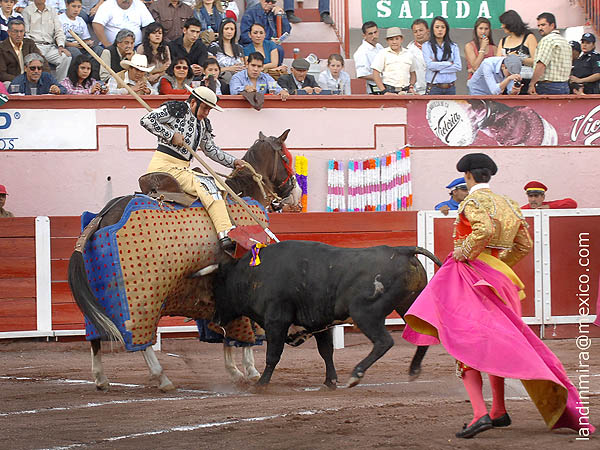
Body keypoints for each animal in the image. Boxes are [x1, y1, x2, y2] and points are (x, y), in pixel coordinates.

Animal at [68, 129, 300, 390]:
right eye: (286, 158)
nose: (296, 194)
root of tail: (102, 216)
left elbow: (225, 331)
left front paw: (234, 371)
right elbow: (245, 329)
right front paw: (250, 370)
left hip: (98, 295)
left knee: (96, 333)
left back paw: (101, 378)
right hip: (143, 296)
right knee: (138, 336)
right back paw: (161, 377)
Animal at [211, 241, 440, 388]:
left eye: (217, 288)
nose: (215, 320)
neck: (253, 274)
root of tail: (402, 250)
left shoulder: (276, 320)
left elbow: (273, 354)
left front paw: (261, 384)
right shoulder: (318, 323)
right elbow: (326, 351)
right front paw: (330, 381)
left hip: (365, 313)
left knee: (384, 341)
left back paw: (356, 375)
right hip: (408, 305)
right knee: (423, 335)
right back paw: (414, 370)